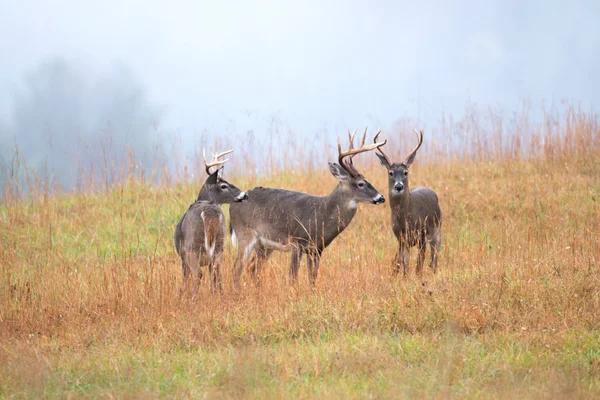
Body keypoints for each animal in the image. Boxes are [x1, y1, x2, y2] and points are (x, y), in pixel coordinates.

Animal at [173, 148, 248, 298]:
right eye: (224, 185)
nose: (245, 195)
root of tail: (209, 212)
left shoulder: (182, 255)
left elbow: (185, 279)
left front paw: (180, 296)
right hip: (220, 243)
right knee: (217, 271)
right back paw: (221, 297)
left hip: (192, 246)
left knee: (198, 274)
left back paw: (193, 299)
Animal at [227, 128, 386, 288]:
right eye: (361, 183)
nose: (381, 198)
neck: (322, 214)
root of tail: (232, 204)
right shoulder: (297, 242)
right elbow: (292, 277)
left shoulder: (317, 249)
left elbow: (312, 278)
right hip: (246, 234)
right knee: (236, 269)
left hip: (264, 245)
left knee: (252, 268)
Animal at [376, 130, 440, 276]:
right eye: (391, 172)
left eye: (405, 172)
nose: (399, 186)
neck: (405, 220)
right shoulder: (401, 238)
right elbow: (404, 262)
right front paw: (405, 277)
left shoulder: (421, 234)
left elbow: (419, 262)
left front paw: (418, 277)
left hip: (437, 229)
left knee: (434, 255)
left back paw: (434, 271)